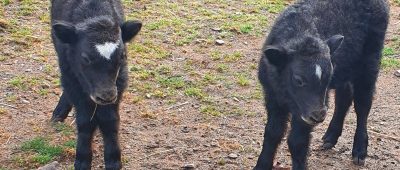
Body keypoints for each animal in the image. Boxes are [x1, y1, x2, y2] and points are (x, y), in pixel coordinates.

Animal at [49, 0, 141, 169]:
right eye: (85, 58)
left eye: (122, 56)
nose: (106, 96)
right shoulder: (70, 75)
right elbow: (85, 121)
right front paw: (82, 160)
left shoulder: (119, 80)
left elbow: (110, 120)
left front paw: (113, 160)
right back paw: (59, 113)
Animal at [255, 0, 390, 170]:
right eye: (298, 80)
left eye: (328, 77)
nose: (318, 115)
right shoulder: (271, 96)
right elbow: (272, 133)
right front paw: (261, 165)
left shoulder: (308, 109)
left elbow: (297, 141)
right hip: (346, 67)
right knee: (344, 97)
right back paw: (330, 137)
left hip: (370, 60)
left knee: (363, 104)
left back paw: (359, 150)